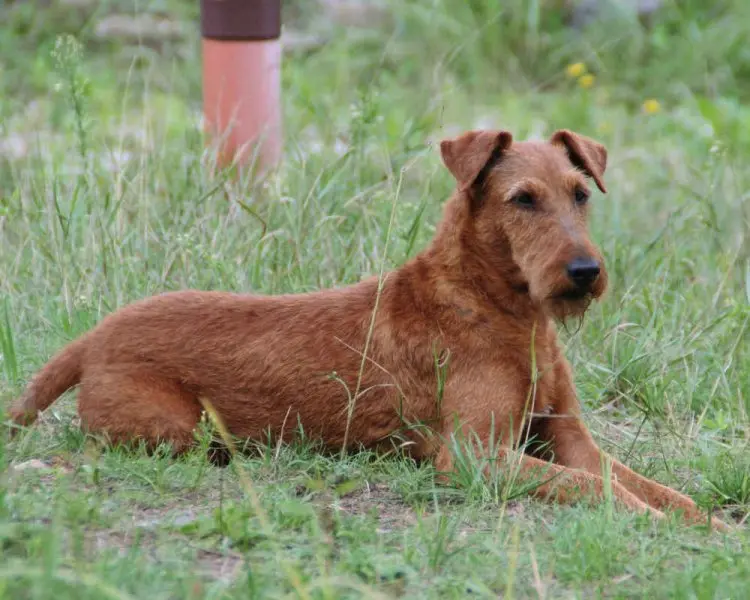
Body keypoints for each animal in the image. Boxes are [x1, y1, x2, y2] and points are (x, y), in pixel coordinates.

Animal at [5, 127, 732, 528]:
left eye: (581, 194)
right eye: (523, 199)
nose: (584, 271)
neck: (504, 311)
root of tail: (94, 336)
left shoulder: (567, 437)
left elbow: (649, 485)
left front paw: (709, 526)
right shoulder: (473, 455)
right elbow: (598, 488)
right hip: (176, 430)